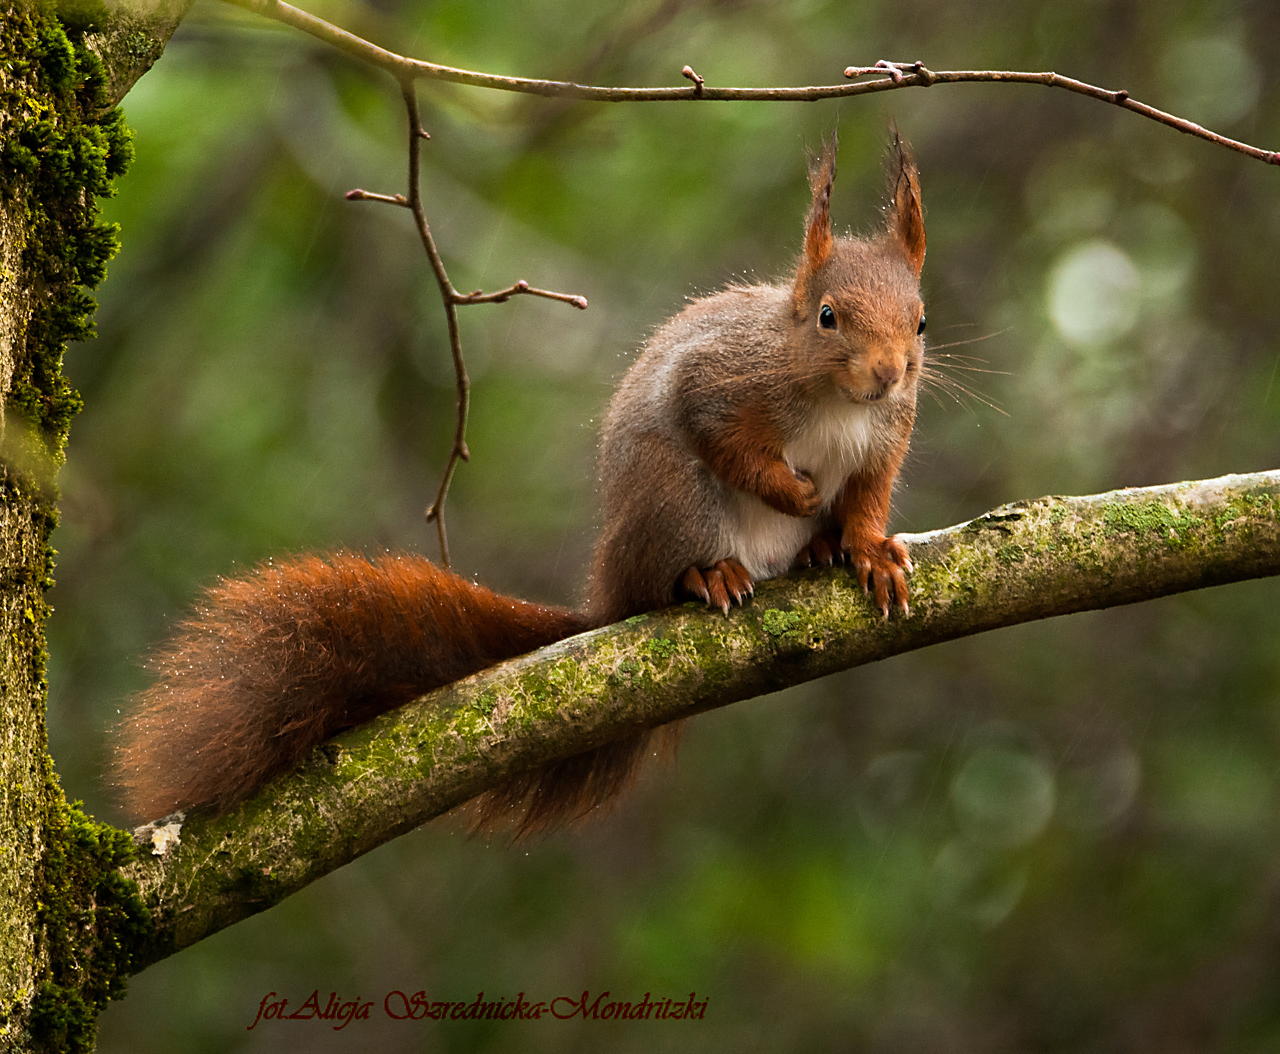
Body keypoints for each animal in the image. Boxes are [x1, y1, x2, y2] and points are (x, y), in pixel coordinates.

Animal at [115, 131, 926, 835]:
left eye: (920, 321)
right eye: (828, 317)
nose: (889, 374)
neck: (838, 402)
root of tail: (608, 592)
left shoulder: (888, 436)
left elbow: (869, 496)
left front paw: (868, 549)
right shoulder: (721, 385)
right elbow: (728, 442)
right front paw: (796, 492)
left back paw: (817, 551)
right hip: (674, 501)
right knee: (667, 570)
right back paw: (710, 575)